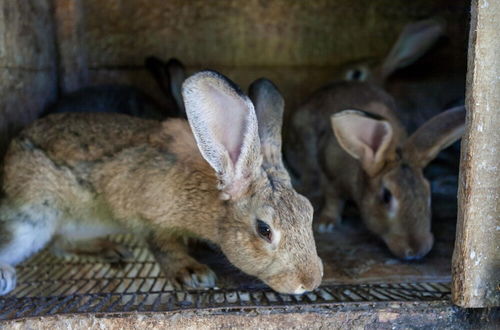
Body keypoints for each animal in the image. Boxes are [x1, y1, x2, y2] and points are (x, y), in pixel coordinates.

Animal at [0, 70, 322, 296]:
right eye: (264, 230)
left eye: (309, 213)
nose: (310, 282)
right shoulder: (144, 214)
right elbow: (162, 244)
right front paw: (193, 274)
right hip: (34, 218)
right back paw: (5, 275)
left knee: (61, 243)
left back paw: (109, 249)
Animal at [290, 80, 464, 260]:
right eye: (386, 197)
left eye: (427, 192)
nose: (417, 251)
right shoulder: (329, 174)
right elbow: (333, 199)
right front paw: (326, 223)